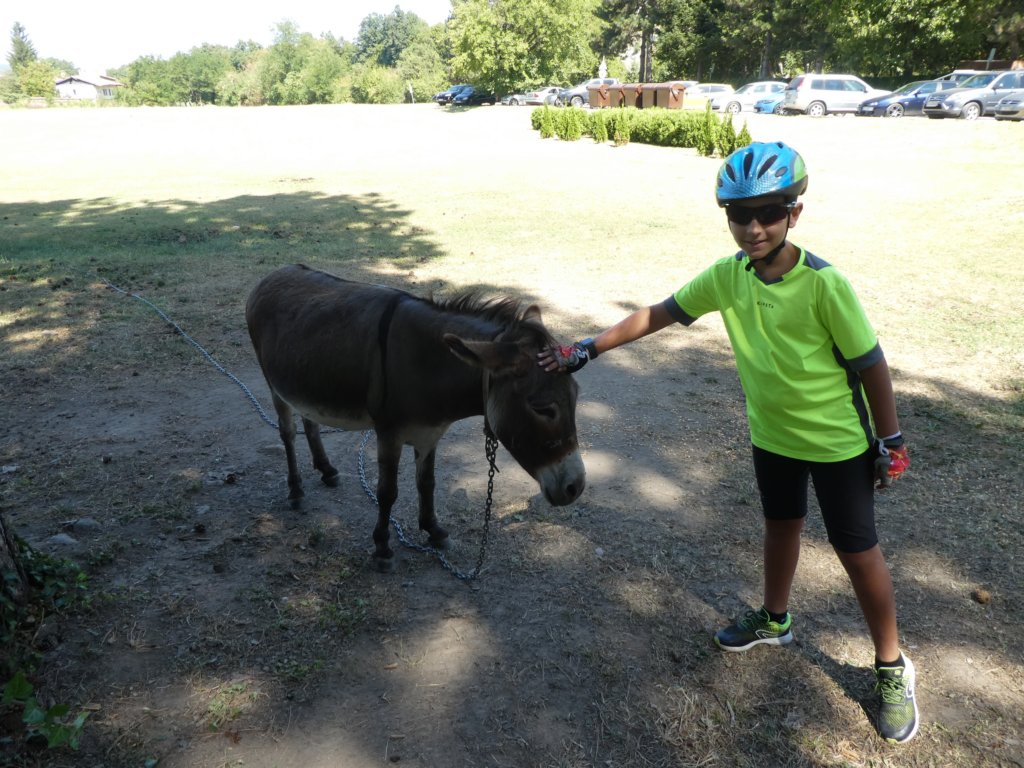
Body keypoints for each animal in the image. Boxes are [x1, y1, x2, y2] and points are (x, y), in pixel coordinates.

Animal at [246, 264, 586, 570]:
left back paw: (327, 470)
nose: (576, 488)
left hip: (306, 380)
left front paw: (433, 530)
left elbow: (427, 483)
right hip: (274, 385)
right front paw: (382, 547)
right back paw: (296, 490)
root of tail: (273, 274)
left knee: (310, 420)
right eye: (543, 409)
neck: (427, 364)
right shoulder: (388, 434)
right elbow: (387, 492)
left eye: (576, 396)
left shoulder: (430, 433)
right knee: (287, 433)